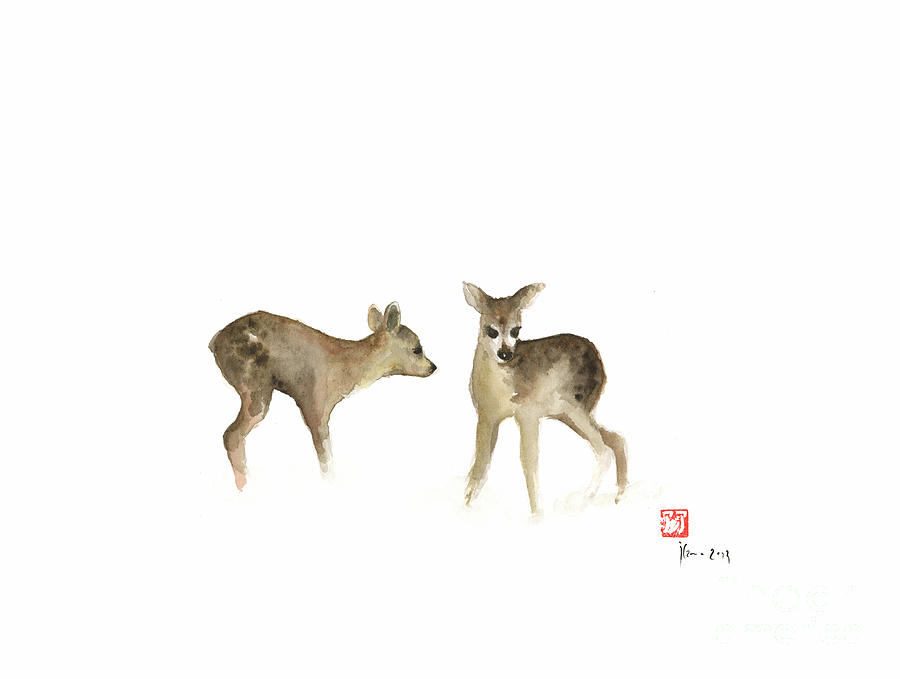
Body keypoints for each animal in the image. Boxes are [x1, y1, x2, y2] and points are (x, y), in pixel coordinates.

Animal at [209, 303, 437, 491]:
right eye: (417, 349)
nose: (433, 367)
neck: (345, 366)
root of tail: (215, 342)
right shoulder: (314, 403)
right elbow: (326, 459)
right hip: (255, 386)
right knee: (232, 435)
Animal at [462, 282, 628, 515]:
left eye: (516, 330)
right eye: (491, 330)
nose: (505, 353)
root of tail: (598, 360)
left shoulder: (527, 414)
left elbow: (529, 462)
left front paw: (537, 513)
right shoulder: (487, 416)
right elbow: (481, 463)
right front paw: (466, 502)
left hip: (573, 406)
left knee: (603, 450)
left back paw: (583, 498)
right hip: (568, 413)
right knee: (615, 439)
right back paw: (617, 495)